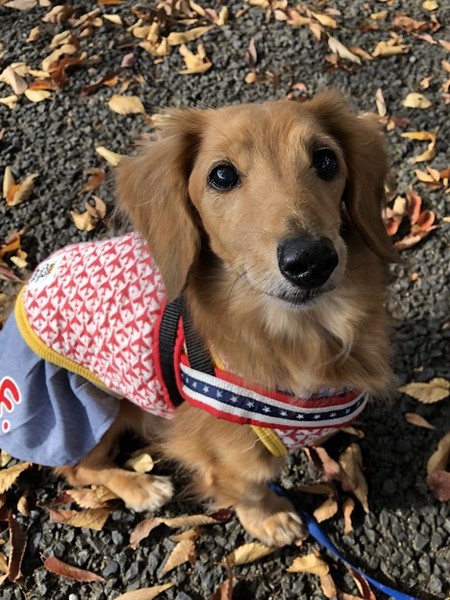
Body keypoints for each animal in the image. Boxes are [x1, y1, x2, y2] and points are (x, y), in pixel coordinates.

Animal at [0, 90, 397, 547]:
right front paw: (271, 518)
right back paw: (140, 487)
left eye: (326, 160)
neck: (299, 334)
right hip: (91, 407)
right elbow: (246, 485)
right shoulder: (221, 448)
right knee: (77, 469)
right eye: (222, 175)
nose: (311, 261)